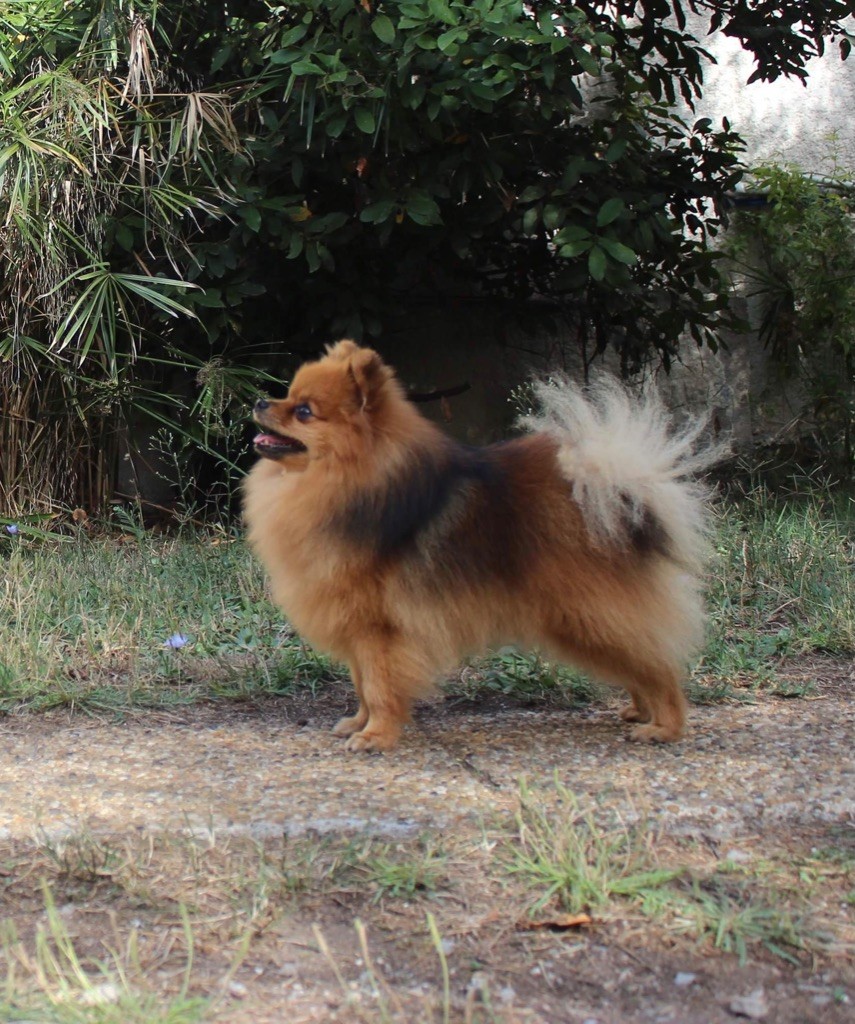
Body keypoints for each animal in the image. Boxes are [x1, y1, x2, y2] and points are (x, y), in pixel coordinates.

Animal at [243, 342, 720, 753]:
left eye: (304, 411)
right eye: (288, 395)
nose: (260, 401)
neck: (346, 479)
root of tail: (619, 496)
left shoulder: (379, 627)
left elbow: (378, 685)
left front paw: (376, 735)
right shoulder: (356, 623)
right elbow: (362, 682)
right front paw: (359, 723)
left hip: (589, 615)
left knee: (657, 665)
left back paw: (665, 726)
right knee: (640, 663)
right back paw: (639, 712)